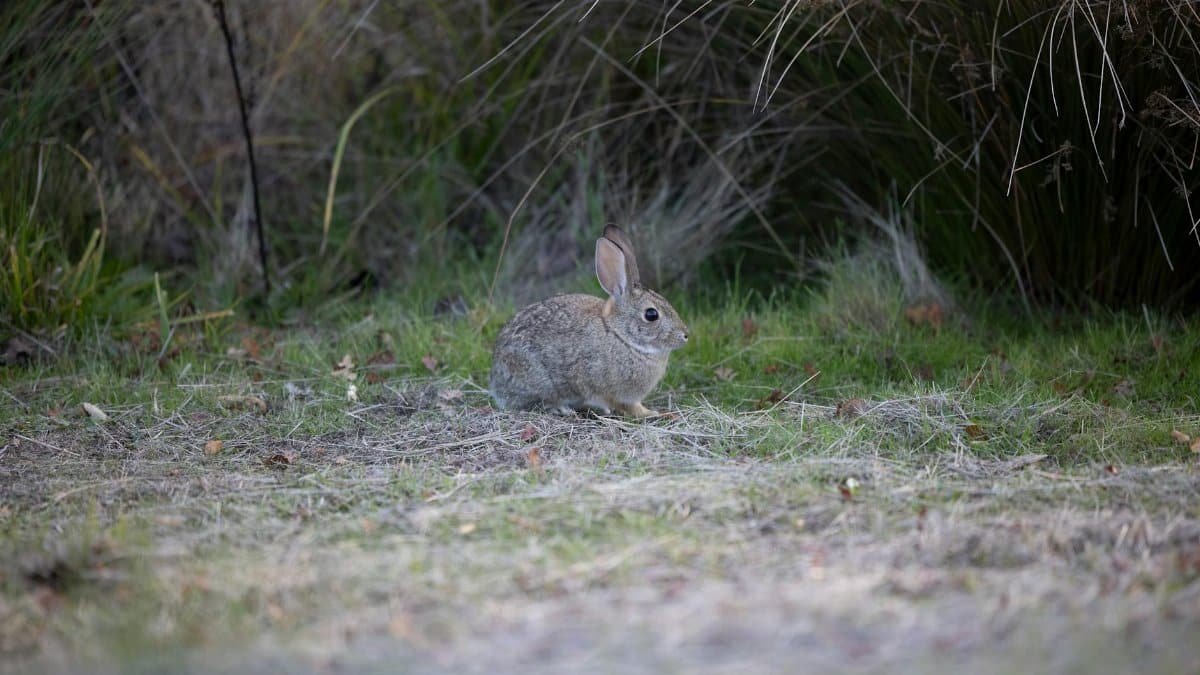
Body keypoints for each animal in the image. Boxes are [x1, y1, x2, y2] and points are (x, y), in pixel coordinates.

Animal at [489, 224, 689, 417]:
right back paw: (562, 409)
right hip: (537, 380)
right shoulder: (615, 391)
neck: (621, 336)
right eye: (651, 315)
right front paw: (650, 413)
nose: (685, 335)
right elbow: (629, 406)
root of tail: (496, 378)